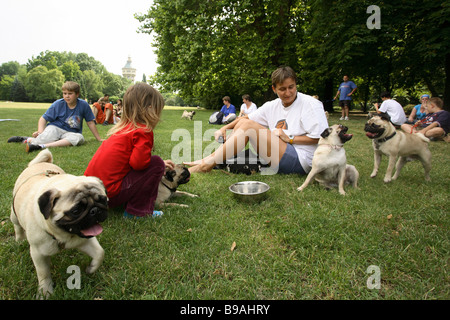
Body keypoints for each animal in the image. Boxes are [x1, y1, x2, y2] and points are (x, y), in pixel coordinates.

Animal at [10, 149, 108, 298]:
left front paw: (90, 269)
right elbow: (43, 274)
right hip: (14, 214)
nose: (95, 210)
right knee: (17, 226)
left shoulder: (85, 241)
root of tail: (38, 164)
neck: (62, 236)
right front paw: (45, 291)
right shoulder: (38, 253)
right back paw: (20, 239)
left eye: (103, 200)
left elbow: (99, 253)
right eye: (76, 210)